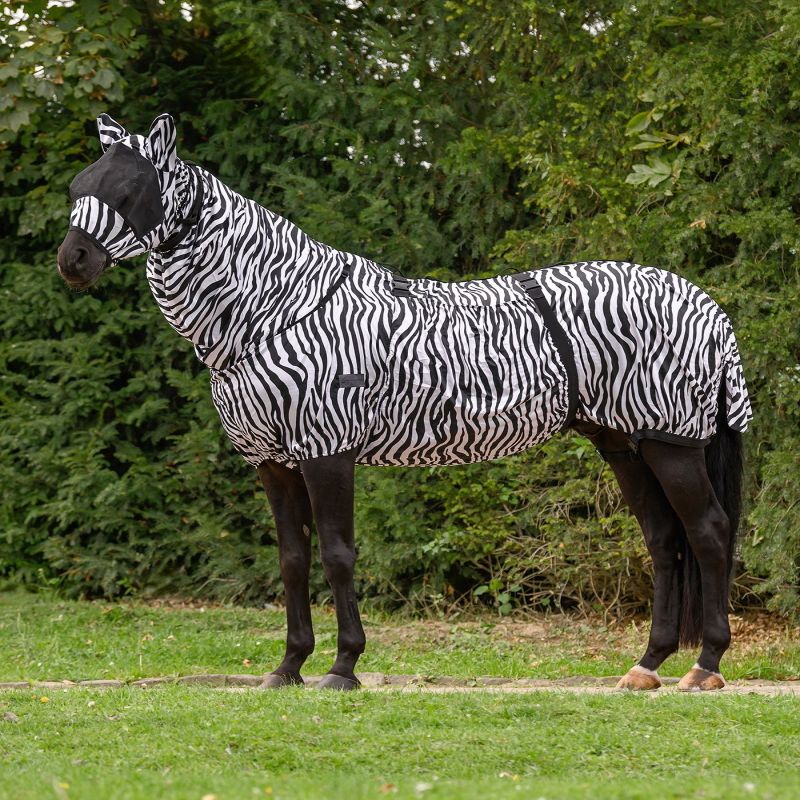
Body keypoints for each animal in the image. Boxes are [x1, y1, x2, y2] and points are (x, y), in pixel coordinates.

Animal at [57, 113, 751, 692]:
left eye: (130, 191)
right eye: (77, 187)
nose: (72, 261)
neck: (274, 309)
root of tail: (705, 302)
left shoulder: (326, 450)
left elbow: (337, 556)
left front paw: (343, 668)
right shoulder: (273, 462)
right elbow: (292, 561)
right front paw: (288, 668)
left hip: (671, 443)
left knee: (709, 533)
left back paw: (705, 666)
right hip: (623, 444)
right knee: (664, 539)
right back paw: (648, 665)